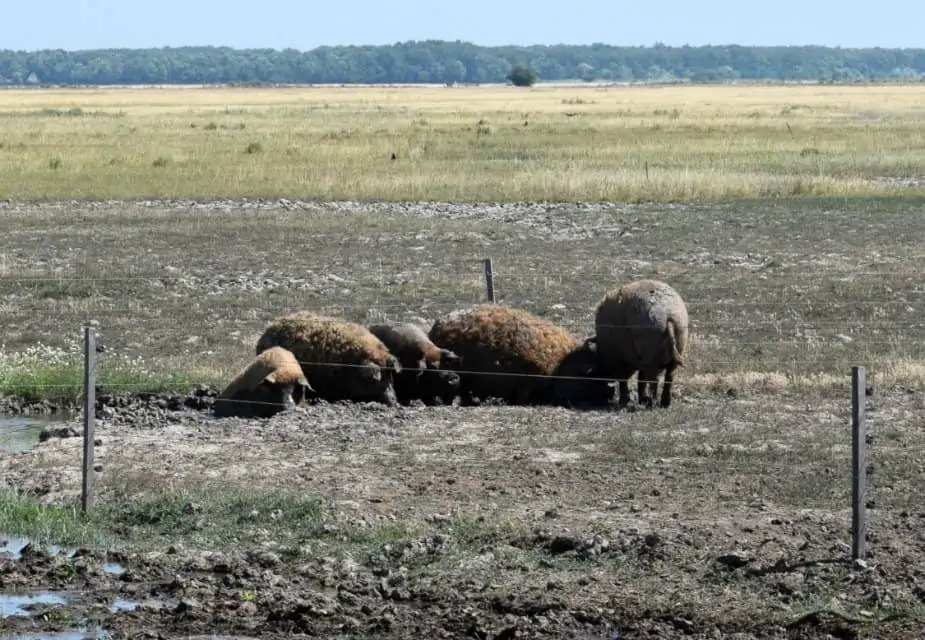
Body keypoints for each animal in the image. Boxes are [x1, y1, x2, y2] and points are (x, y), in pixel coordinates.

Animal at [596, 280, 688, 410]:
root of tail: (668, 316)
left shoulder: (620, 360)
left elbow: (624, 380)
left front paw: (624, 402)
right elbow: (641, 378)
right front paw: (640, 400)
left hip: (650, 352)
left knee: (654, 380)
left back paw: (652, 404)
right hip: (678, 343)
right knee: (669, 377)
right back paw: (665, 403)